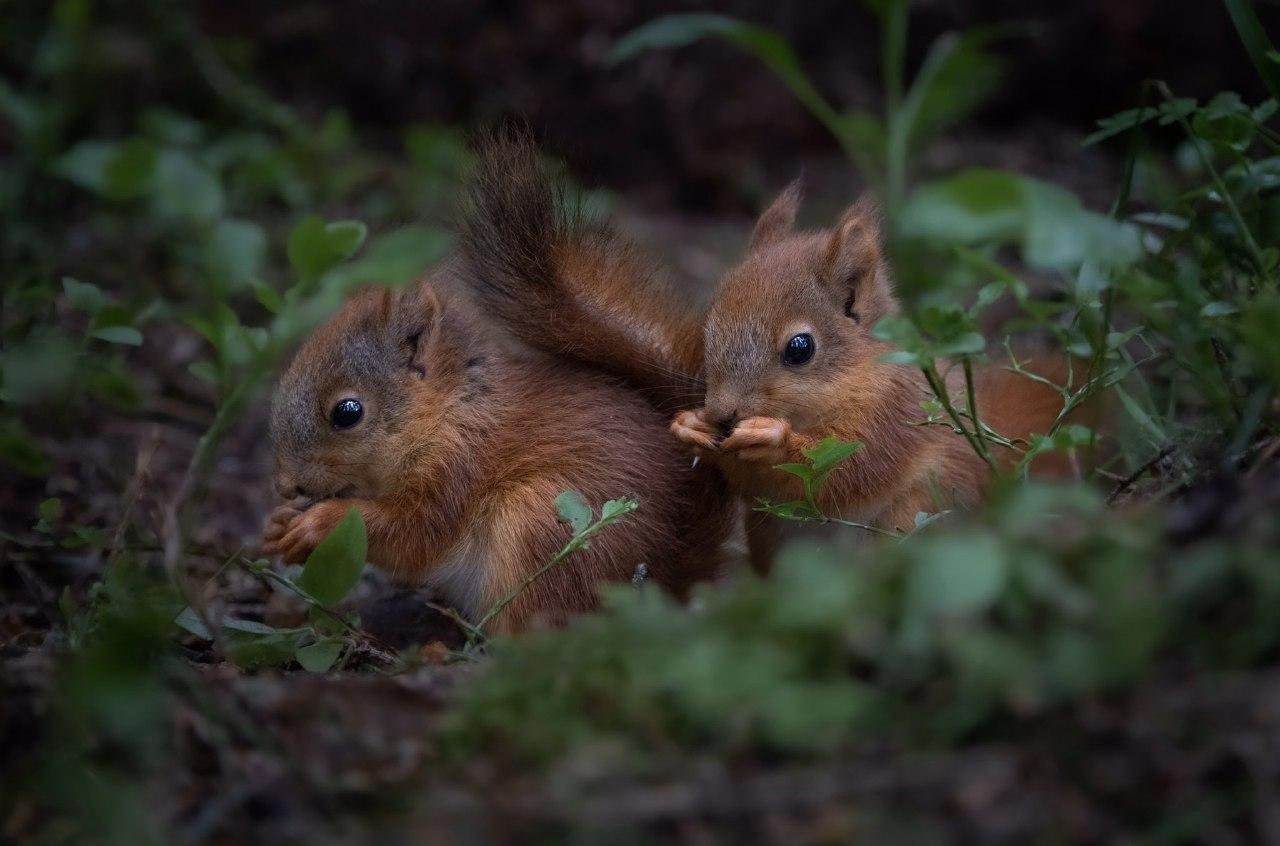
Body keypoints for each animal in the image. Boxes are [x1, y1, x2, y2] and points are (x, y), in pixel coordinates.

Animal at [258, 272, 732, 634]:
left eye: (347, 412)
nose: (284, 485)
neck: (449, 412)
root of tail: (671, 582)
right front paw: (277, 526)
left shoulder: (459, 467)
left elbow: (414, 532)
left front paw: (319, 523)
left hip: (544, 524)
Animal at [460, 136, 1070, 573]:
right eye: (709, 329)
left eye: (800, 348)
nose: (724, 412)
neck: (850, 381)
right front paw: (691, 427)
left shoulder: (899, 414)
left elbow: (852, 469)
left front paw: (772, 439)